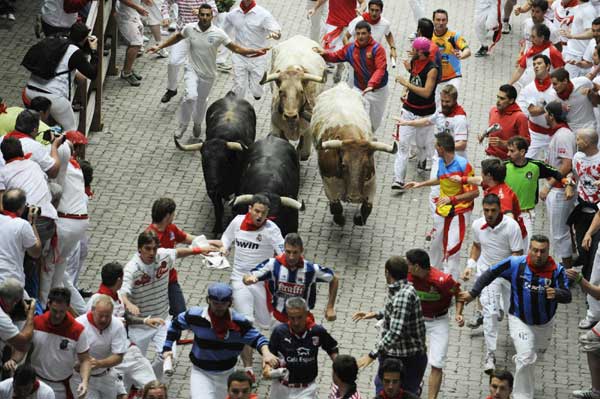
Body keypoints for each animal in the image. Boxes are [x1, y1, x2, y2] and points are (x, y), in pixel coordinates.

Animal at [176, 92, 255, 233]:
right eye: (203, 161)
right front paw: (217, 228)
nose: (213, 185)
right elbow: (218, 210)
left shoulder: (238, 187)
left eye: (224, 161)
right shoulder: (213, 193)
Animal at [258, 34, 324, 162]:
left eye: (301, 91)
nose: (290, 115)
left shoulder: (307, 131)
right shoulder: (276, 127)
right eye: (281, 91)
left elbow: (303, 152)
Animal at [310, 83, 398, 228]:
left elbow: (367, 208)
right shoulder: (329, 184)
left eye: (367, 164)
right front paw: (339, 219)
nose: (355, 198)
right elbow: (336, 207)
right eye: (343, 165)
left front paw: (358, 218)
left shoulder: (371, 182)